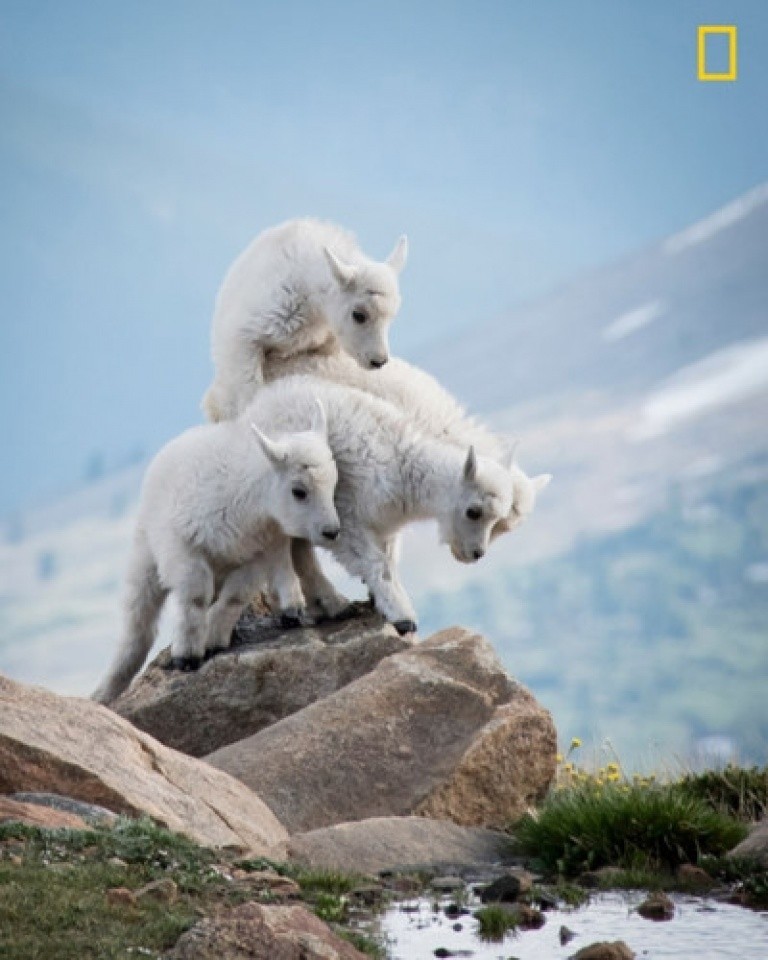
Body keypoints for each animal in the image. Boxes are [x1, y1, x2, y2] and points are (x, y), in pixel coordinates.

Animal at [90, 402, 336, 700]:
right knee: (139, 623)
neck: (248, 502)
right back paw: (105, 690)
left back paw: (290, 609)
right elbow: (195, 596)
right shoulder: (183, 547)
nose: (332, 531)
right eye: (298, 491)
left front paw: (214, 639)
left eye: (334, 484)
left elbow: (235, 596)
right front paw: (187, 656)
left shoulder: (257, 553)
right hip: (145, 552)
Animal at [202, 223, 408, 426]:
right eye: (358, 315)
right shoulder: (245, 337)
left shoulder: (323, 347)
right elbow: (248, 390)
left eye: (391, 316)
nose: (378, 361)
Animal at [246, 376, 516, 636]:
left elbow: (388, 560)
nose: (476, 554)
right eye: (473, 511)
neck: (405, 470)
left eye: (497, 518)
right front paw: (403, 618)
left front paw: (378, 599)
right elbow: (377, 563)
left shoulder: (385, 525)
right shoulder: (347, 517)